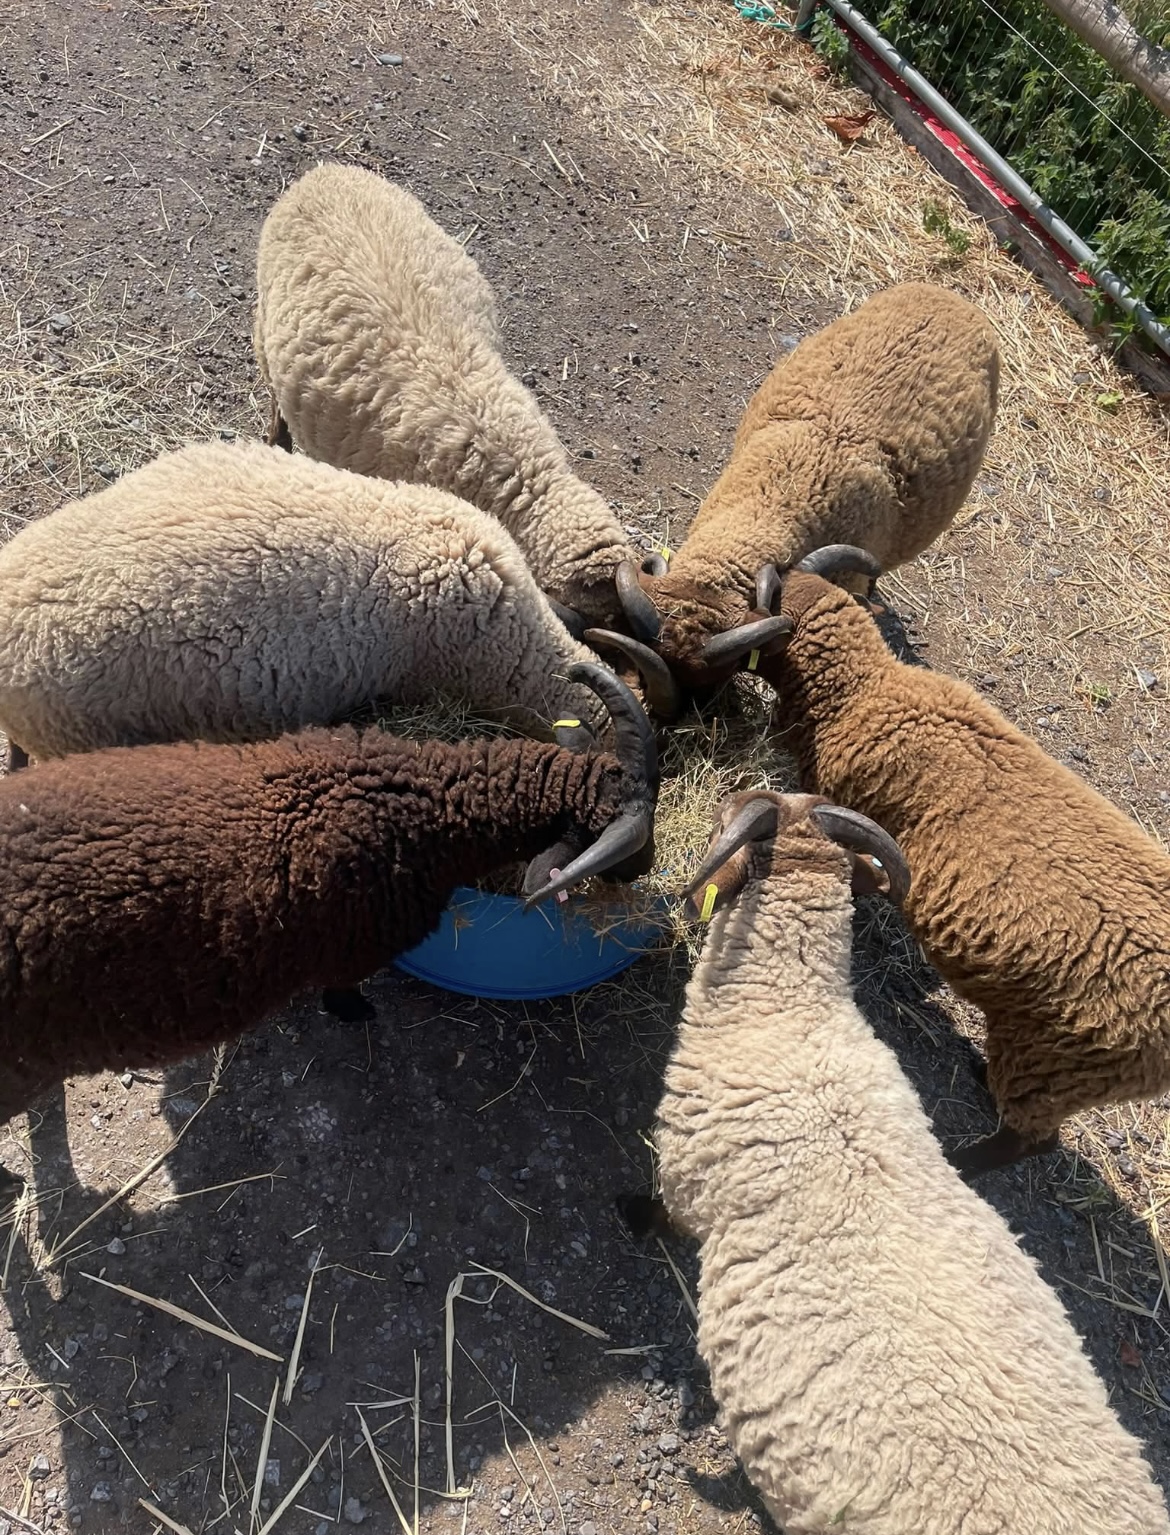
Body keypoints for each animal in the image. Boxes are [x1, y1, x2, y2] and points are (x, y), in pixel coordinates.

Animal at [0, 662, 657, 1125]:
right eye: (633, 838)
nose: (643, 871)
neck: (422, 804)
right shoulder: (356, 945)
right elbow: (342, 986)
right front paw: (353, 1012)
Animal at [629, 788, 1169, 1535]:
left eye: (733, 815)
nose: (730, 794)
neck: (789, 1011)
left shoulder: (687, 1181)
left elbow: (663, 1215)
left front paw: (629, 1217)